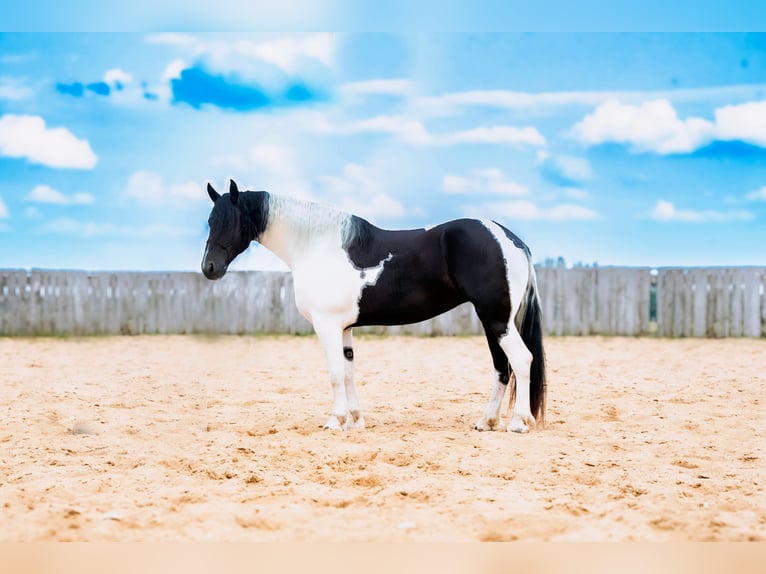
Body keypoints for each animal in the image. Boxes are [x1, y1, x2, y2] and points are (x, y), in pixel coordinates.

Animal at [202, 179, 544, 432]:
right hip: (492, 320)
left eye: (229, 222)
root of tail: (509, 239)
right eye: (209, 221)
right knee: (502, 367)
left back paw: (518, 422)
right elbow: (349, 371)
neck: (317, 245)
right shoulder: (344, 328)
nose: (209, 268)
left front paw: (335, 421)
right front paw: (355, 420)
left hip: (496, 319)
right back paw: (487, 421)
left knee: (521, 360)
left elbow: (335, 373)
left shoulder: (326, 325)